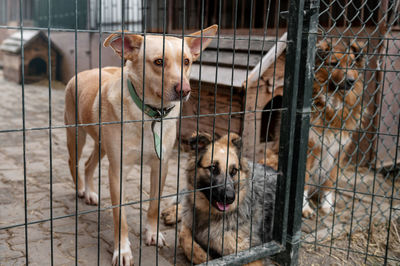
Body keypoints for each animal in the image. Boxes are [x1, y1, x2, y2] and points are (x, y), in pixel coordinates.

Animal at [63, 25, 217, 266]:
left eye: (186, 61)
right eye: (158, 62)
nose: (184, 90)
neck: (150, 115)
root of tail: (84, 72)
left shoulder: (160, 167)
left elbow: (154, 204)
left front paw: (152, 234)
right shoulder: (117, 170)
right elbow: (120, 216)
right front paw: (122, 250)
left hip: (102, 146)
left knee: (88, 165)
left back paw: (90, 193)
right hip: (77, 135)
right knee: (74, 162)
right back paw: (80, 189)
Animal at [161, 134, 276, 264]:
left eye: (234, 171)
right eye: (213, 168)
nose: (230, 198)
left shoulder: (252, 253)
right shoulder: (190, 221)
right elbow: (183, 236)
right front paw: (202, 255)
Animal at [260, 39, 366, 218]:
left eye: (351, 64)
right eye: (334, 63)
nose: (351, 81)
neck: (332, 104)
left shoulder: (338, 149)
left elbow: (330, 181)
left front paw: (327, 205)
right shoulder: (309, 148)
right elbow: (304, 180)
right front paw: (304, 208)